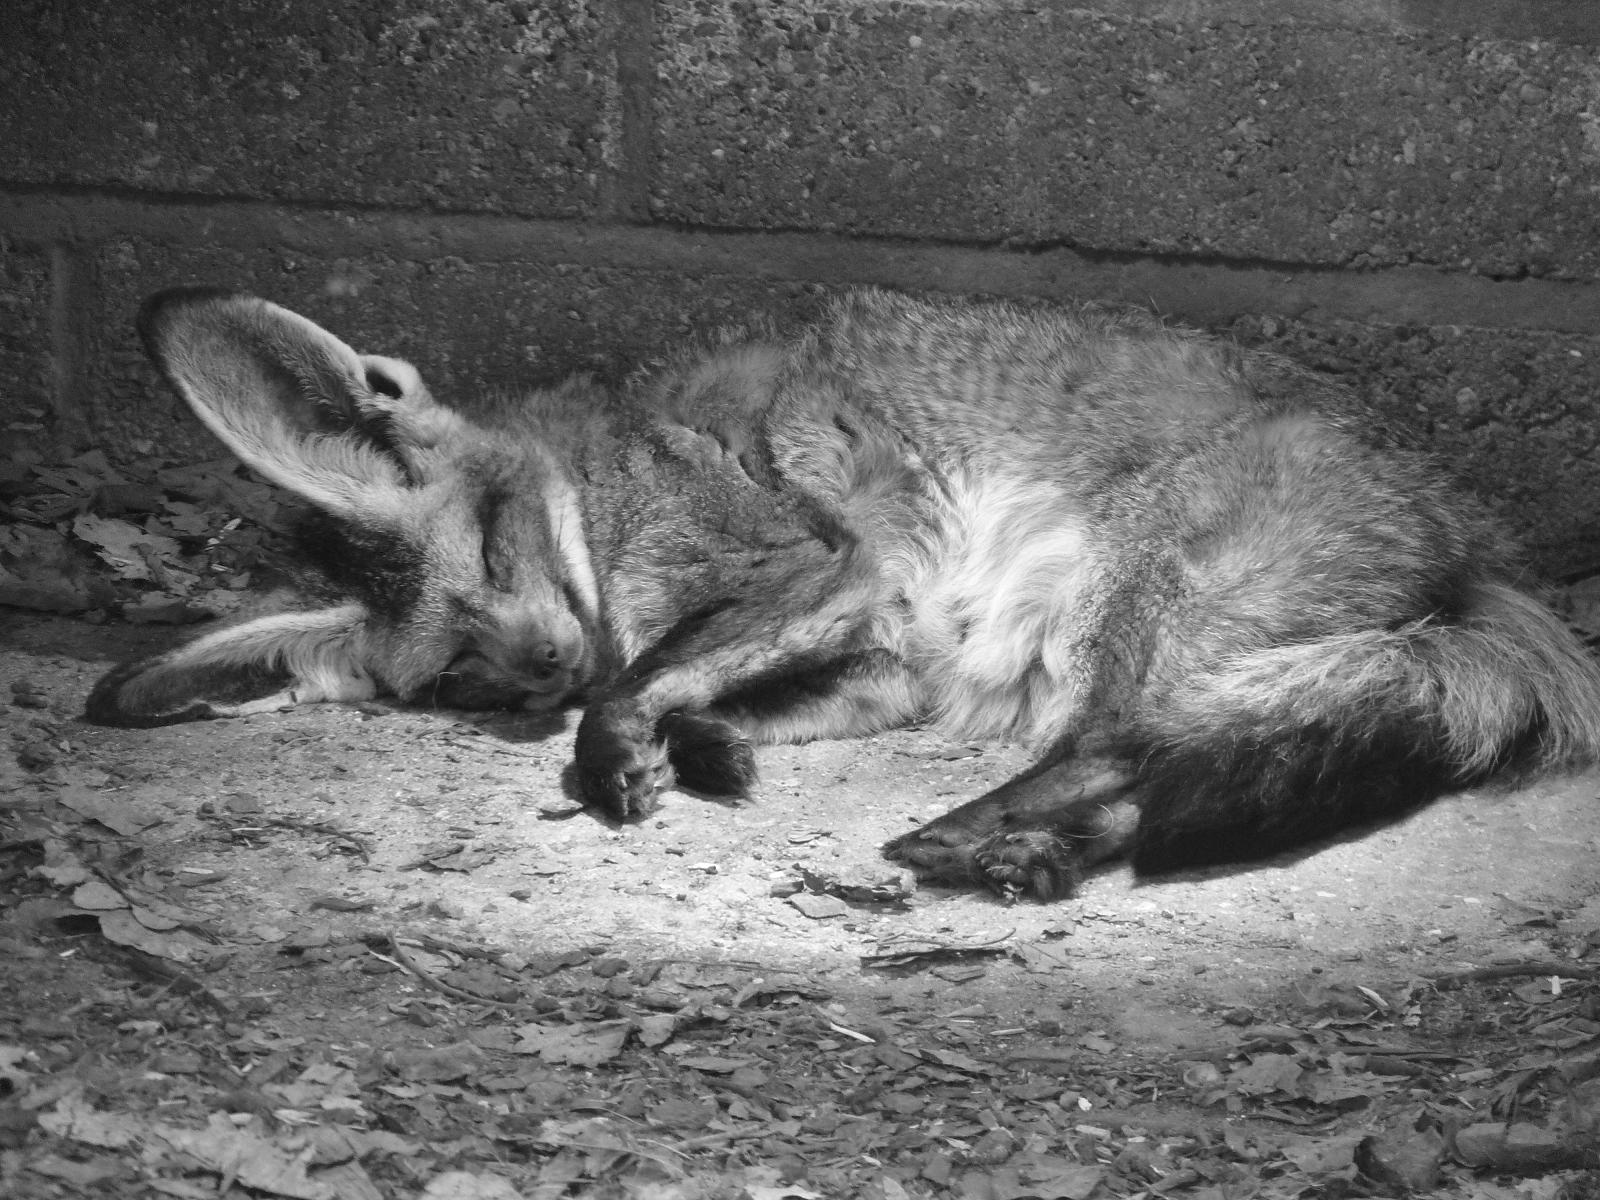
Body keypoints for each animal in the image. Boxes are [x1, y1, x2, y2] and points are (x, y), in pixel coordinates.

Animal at [86, 285, 1600, 899]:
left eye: (502, 552)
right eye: (460, 670)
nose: (541, 671)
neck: (615, 484)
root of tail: (1479, 553)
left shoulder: (825, 563)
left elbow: (644, 680)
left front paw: (623, 752)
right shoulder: (888, 653)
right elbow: (715, 697)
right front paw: (703, 748)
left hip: (1135, 611)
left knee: (1123, 749)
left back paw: (974, 838)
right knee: (1154, 764)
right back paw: (1030, 849)